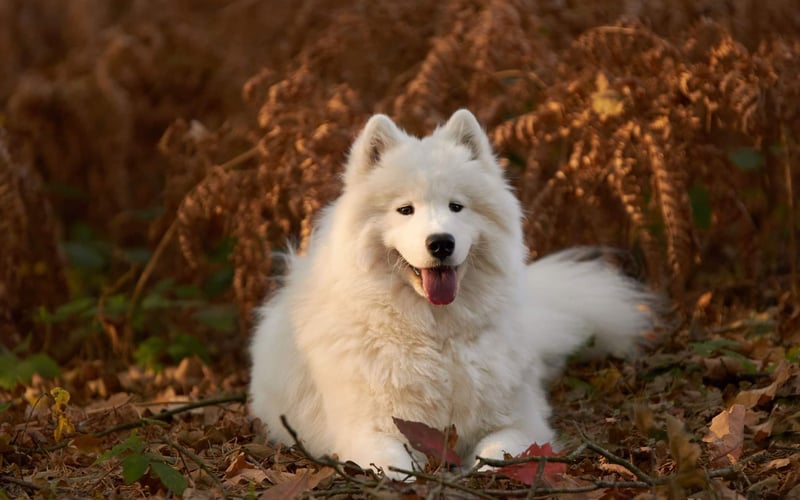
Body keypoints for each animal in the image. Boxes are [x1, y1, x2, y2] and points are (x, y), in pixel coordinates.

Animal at [248, 108, 656, 472]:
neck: (436, 336)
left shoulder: (520, 423)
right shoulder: (368, 430)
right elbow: (395, 465)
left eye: (456, 206)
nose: (441, 243)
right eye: (406, 210)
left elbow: (497, 453)